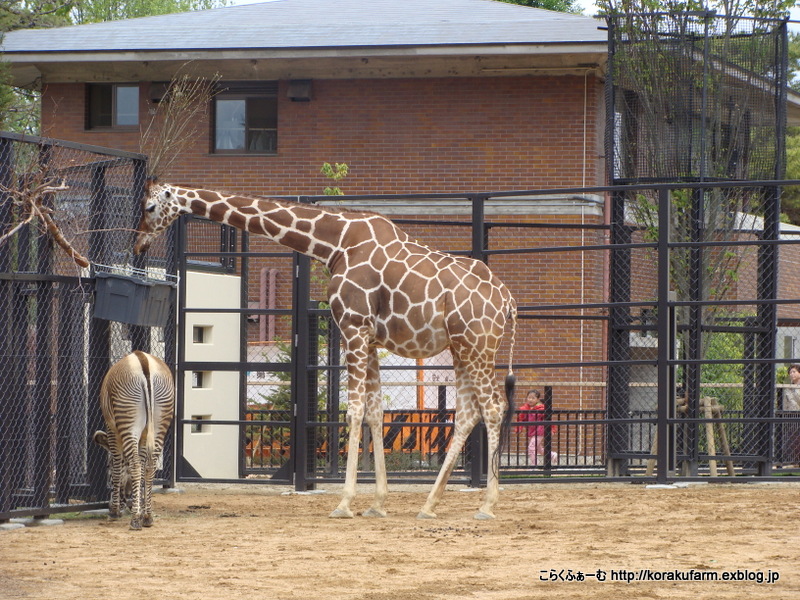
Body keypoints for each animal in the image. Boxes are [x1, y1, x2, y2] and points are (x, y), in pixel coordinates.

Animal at [93, 352, 175, 528]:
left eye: (107, 466)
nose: (109, 506)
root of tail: (143, 360)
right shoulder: (144, 435)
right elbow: (141, 467)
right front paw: (140, 507)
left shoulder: (112, 430)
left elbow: (119, 468)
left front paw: (115, 511)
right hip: (160, 420)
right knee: (150, 466)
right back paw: (147, 517)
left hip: (127, 418)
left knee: (136, 466)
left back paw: (135, 520)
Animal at [134, 183, 516, 520]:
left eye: (150, 207)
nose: (138, 243)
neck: (335, 243)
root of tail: (507, 302)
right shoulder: (369, 338)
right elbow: (374, 412)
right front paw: (377, 503)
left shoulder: (353, 327)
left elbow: (354, 411)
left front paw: (344, 503)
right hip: (461, 348)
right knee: (467, 413)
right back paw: (429, 505)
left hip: (478, 346)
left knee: (493, 407)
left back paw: (487, 505)